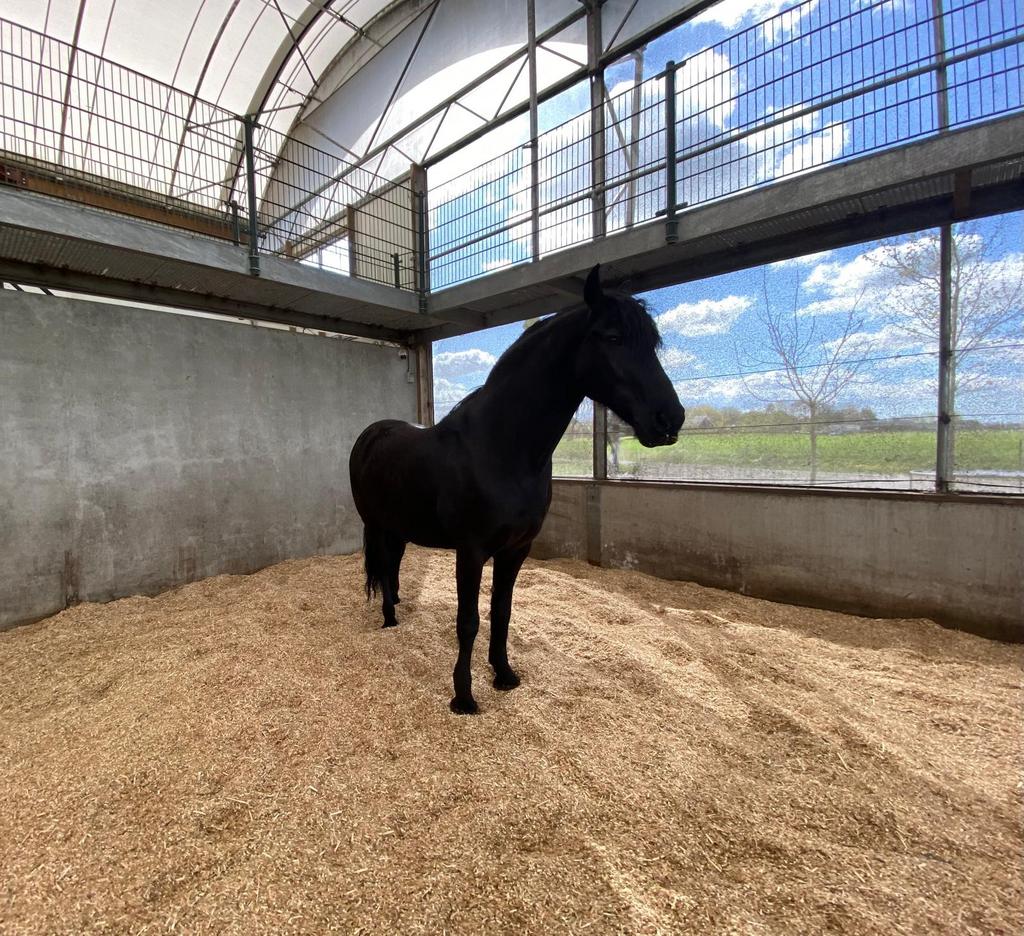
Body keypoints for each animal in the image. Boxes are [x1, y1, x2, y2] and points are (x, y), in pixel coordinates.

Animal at [348, 265, 685, 714]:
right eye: (613, 337)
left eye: (652, 344)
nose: (671, 419)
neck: (501, 448)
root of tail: (372, 433)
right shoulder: (471, 551)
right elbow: (468, 621)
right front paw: (463, 697)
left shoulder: (516, 550)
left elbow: (502, 613)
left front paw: (504, 675)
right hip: (375, 523)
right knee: (383, 567)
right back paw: (388, 618)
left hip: (399, 526)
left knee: (393, 565)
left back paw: (398, 609)